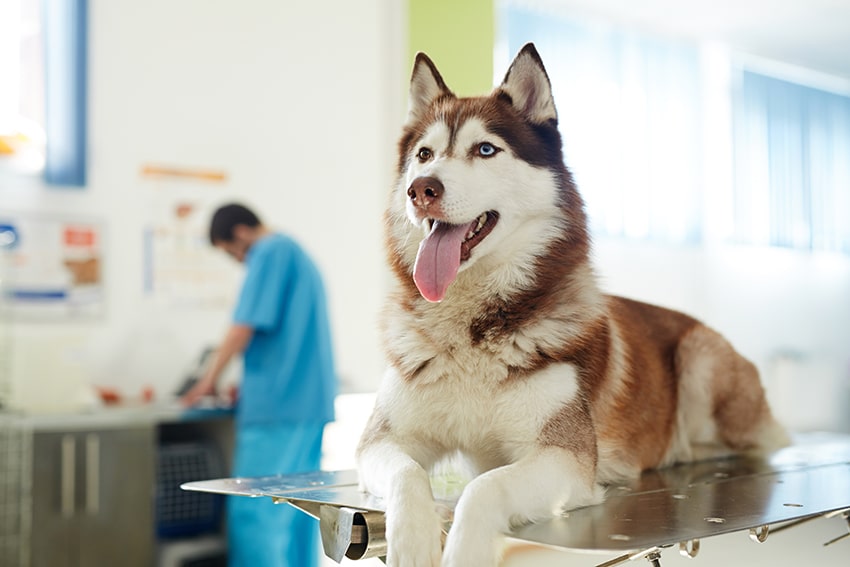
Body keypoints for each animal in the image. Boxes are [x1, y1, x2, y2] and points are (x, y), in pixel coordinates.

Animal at [352, 44, 788, 567]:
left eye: (485, 149)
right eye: (424, 155)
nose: (421, 189)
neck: (473, 330)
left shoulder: (565, 459)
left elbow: (483, 488)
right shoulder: (381, 442)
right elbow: (407, 474)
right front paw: (412, 542)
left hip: (700, 357)